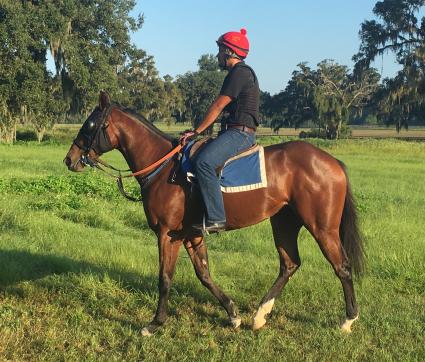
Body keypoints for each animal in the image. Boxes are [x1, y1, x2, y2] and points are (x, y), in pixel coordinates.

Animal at [63, 92, 364, 336]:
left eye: (90, 125)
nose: (70, 159)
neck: (162, 167)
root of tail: (331, 161)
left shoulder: (167, 235)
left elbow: (165, 278)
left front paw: (155, 323)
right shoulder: (191, 235)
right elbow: (204, 274)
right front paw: (233, 314)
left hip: (322, 227)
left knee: (342, 266)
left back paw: (348, 320)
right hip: (284, 222)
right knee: (289, 264)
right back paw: (259, 315)